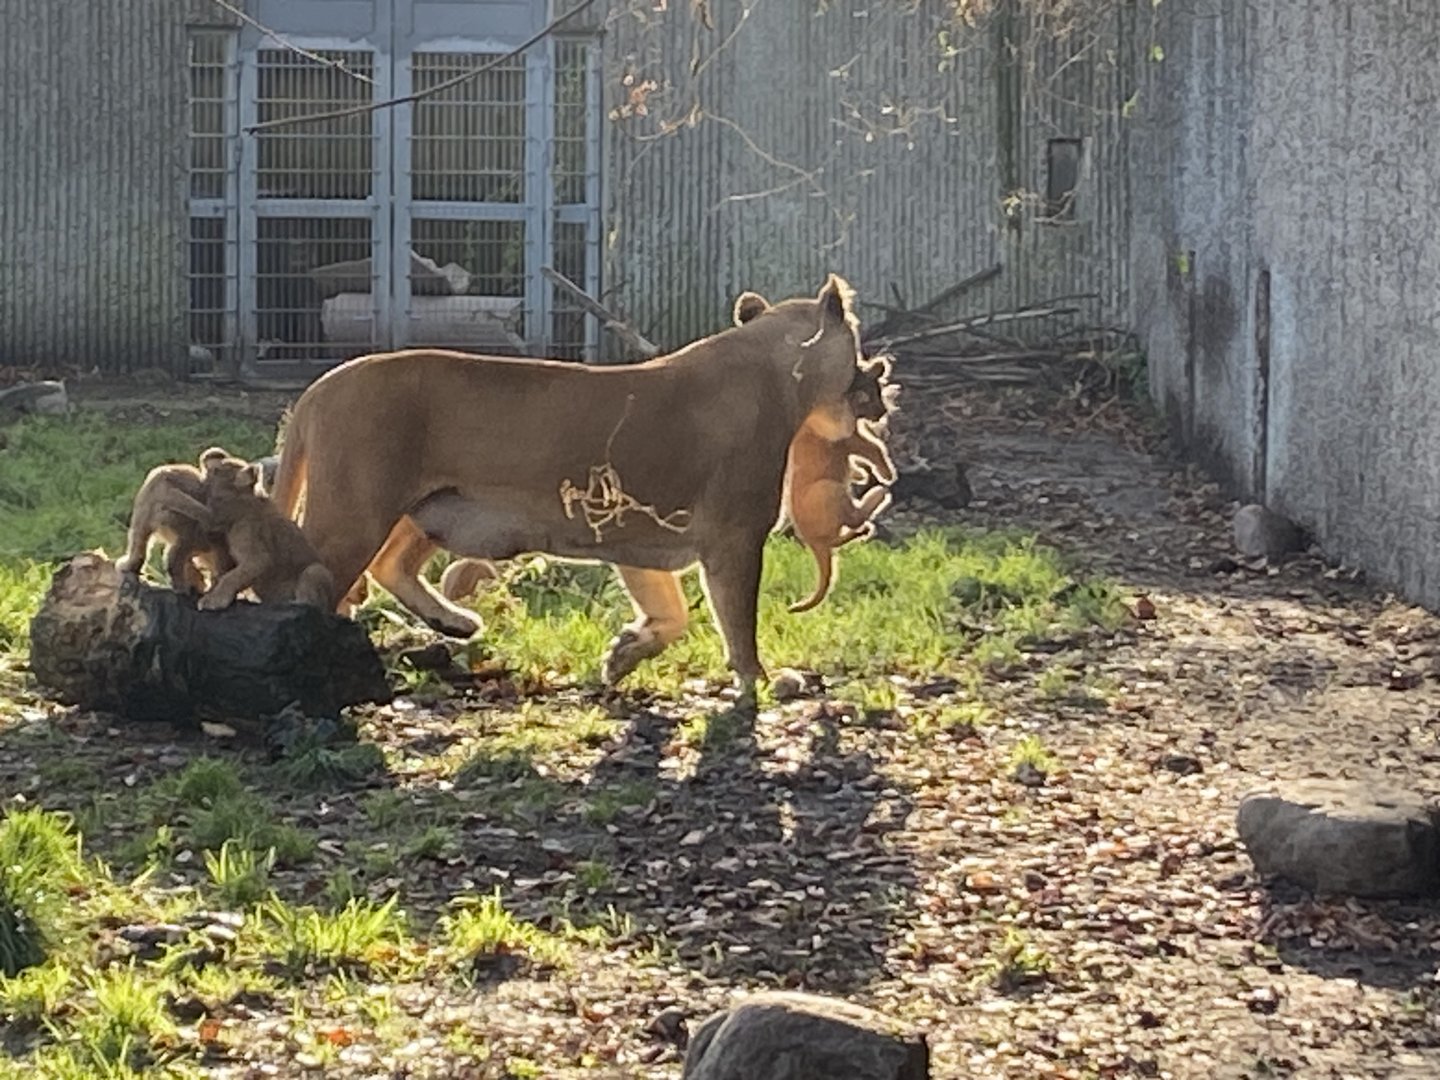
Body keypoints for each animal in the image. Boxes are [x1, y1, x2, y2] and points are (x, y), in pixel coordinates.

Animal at [115, 447, 237, 594]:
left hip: (143, 513)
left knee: (139, 545)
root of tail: (161, 486)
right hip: (179, 520)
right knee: (176, 554)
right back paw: (182, 586)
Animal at [193, 453, 335, 612]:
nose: (204, 465)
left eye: (216, 471)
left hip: (315, 570)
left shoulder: (258, 558)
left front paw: (212, 600)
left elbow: (231, 577)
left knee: (314, 603)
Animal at [268, 274, 868, 695]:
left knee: (386, 566)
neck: (775, 373)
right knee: (302, 584)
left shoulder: (635, 535)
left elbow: (671, 613)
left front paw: (622, 655)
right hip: (357, 511)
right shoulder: (734, 537)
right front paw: (757, 683)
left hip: (426, 506)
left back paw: (454, 624)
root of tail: (320, 387)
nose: (873, 374)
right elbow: (738, 620)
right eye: (859, 346)